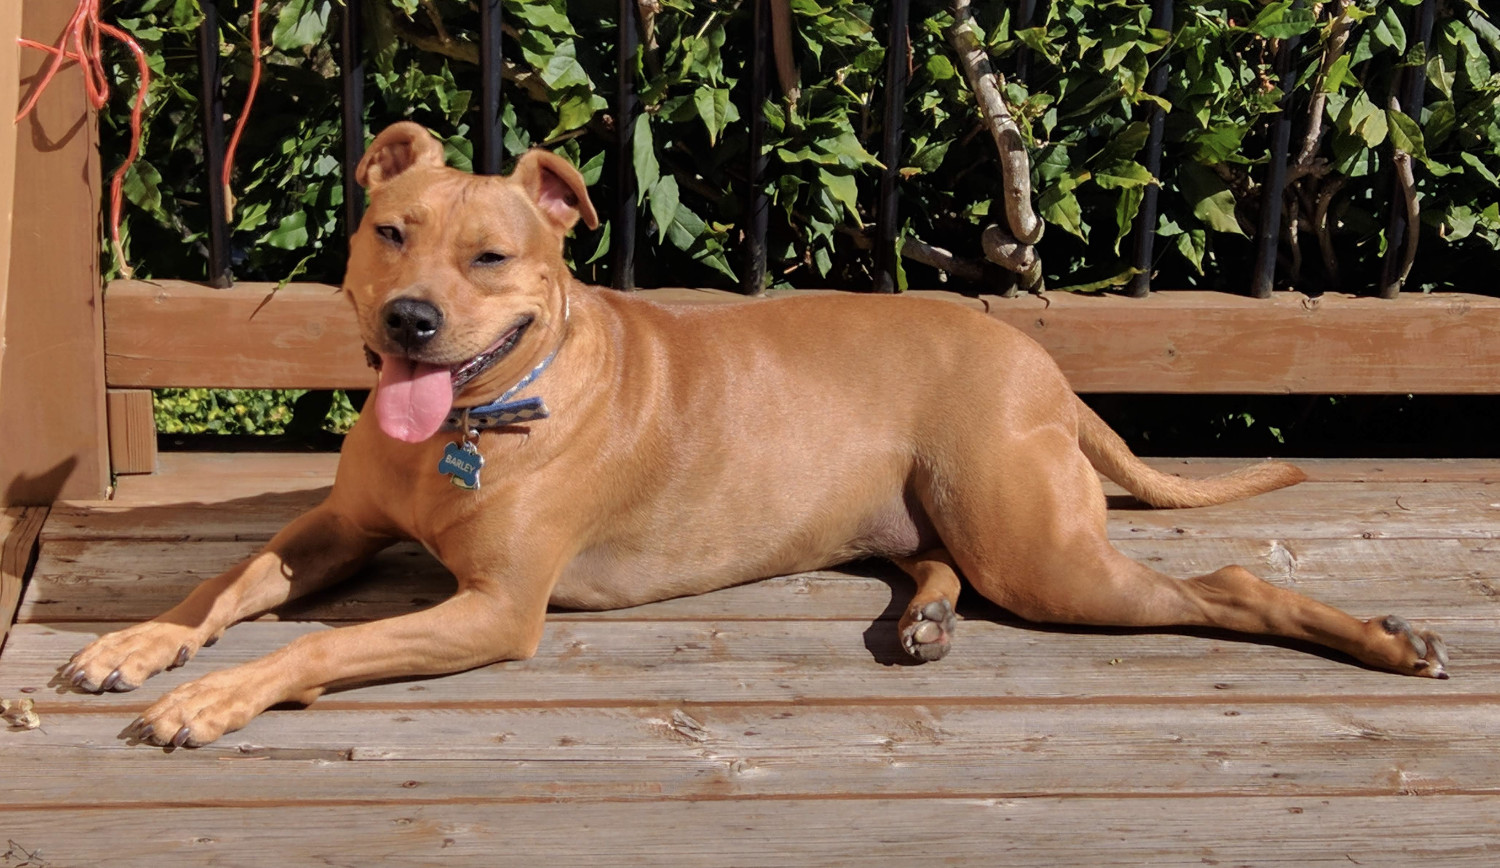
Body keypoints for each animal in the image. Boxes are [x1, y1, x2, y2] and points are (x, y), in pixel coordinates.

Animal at [61, 122, 1452, 746]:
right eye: (389, 232)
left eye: (492, 257)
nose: (410, 320)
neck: (475, 416)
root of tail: (1041, 361)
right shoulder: (335, 528)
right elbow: (223, 580)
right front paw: (140, 644)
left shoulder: (494, 609)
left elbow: (315, 645)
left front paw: (215, 695)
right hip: (907, 509)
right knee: (926, 561)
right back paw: (921, 620)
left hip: (1042, 554)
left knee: (1223, 581)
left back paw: (1391, 638)